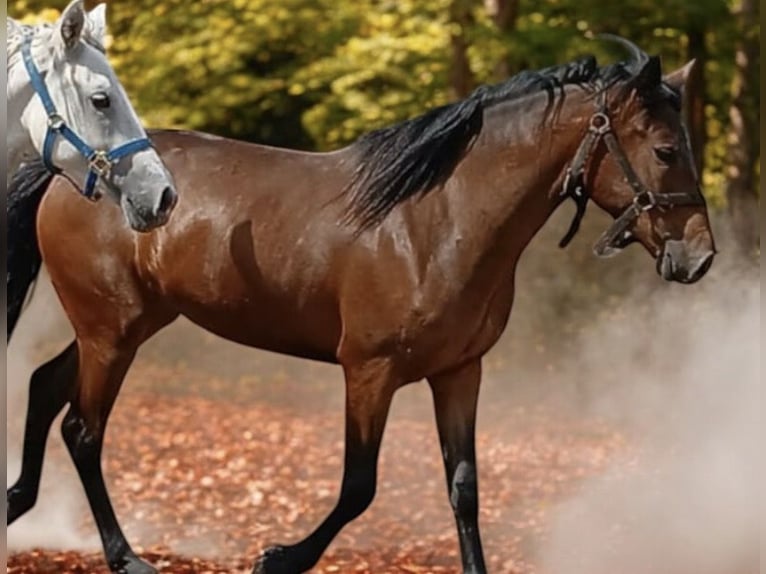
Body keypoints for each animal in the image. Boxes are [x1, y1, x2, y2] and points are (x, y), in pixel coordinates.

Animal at [6, 38, 716, 574]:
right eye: (664, 150)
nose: (700, 258)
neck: (435, 222)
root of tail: (73, 172)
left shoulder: (459, 373)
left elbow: (465, 488)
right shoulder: (369, 372)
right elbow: (358, 486)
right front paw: (279, 558)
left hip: (127, 325)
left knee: (44, 388)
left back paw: (17, 505)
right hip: (112, 332)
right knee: (83, 430)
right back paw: (125, 557)